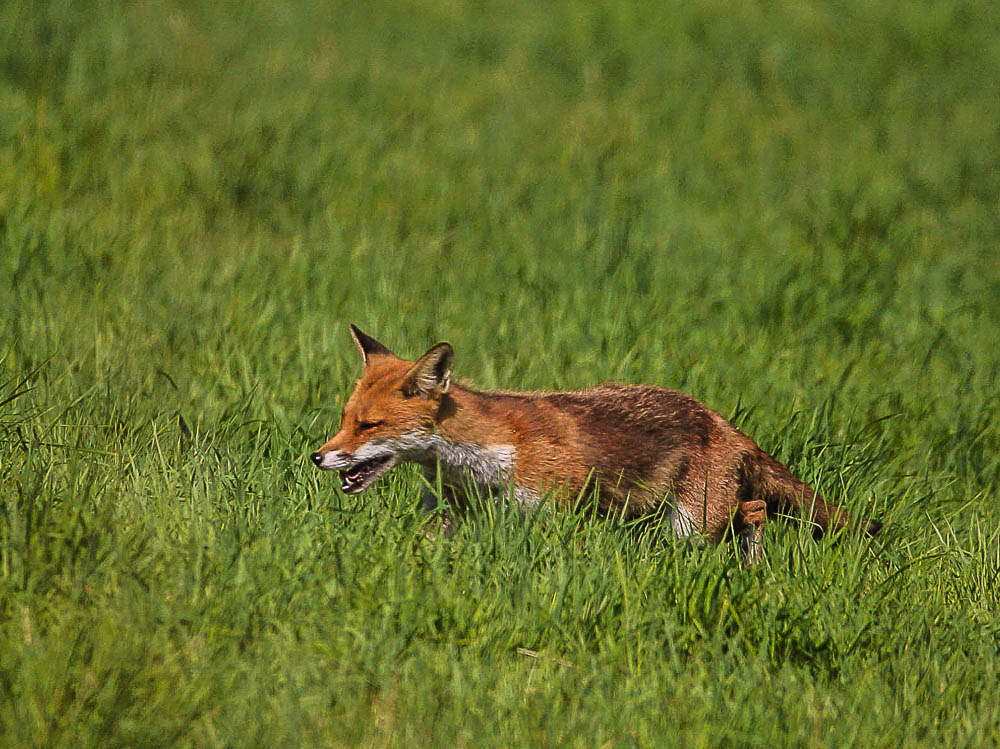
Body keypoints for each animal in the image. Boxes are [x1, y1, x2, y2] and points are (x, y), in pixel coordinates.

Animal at [308, 324, 880, 564]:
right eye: (345, 420)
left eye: (370, 426)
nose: (317, 456)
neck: (478, 462)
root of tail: (720, 419)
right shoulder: (448, 514)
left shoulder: (555, 511)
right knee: (755, 508)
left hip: (692, 523)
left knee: (752, 512)